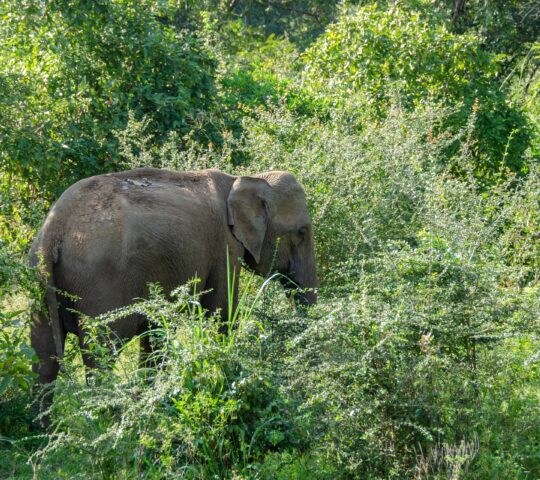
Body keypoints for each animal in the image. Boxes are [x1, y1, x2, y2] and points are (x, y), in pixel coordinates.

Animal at [28, 167, 316, 418]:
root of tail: (52, 233)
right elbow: (221, 315)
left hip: (38, 283)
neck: (244, 179)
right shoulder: (224, 247)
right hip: (98, 284)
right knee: (99, 357)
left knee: (43, 360)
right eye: (302, 232)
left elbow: (154, 336)